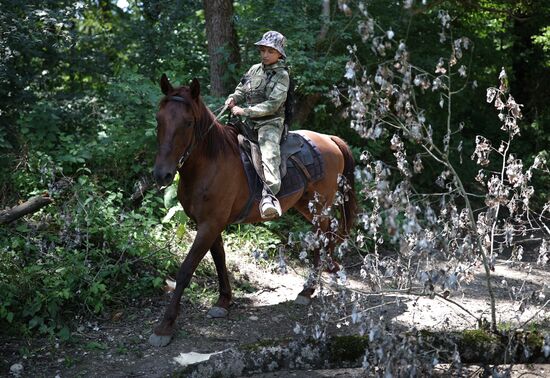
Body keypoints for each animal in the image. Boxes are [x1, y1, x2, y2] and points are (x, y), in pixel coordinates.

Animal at [150, 74, 358, 346]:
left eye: (187, 123)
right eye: (159, 119)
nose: (161, 174)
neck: (211, 162)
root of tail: (330, 139)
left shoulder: (209, 225)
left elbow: (185, 270)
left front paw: (165, 326)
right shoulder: (209, 224)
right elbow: (219, 259)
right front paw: (224, 301)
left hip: (320, 205)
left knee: (324, 236)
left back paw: (308, 289)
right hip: (306, 206)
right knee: (325, 236)